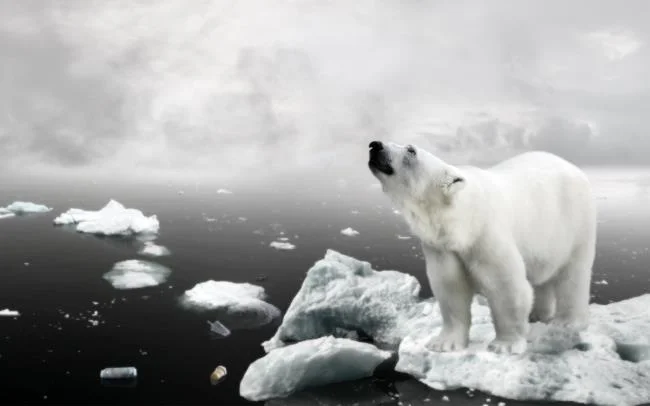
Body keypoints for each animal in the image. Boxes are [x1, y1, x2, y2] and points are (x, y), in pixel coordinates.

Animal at [368, 140, 597, 354]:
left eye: (411, 150)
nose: (375, 145)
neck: (463, 221)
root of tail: (574, 168)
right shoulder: (442, 247)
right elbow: (451, 288)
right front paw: (443, 344)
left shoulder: (486, 235)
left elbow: (506, 285)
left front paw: (505, 345)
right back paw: (537, 314)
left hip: (575, 223)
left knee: (573, 274)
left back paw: (568, 322)